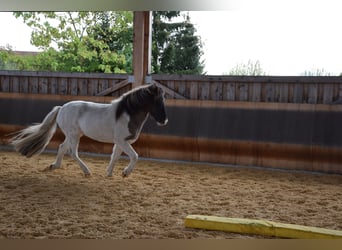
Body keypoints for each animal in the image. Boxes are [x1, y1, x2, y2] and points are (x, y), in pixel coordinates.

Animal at [11, 83, 169, 177]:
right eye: (157, 100)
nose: (164, 121)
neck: (126, 114)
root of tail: (62, 108)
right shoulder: (122, 141)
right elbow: (135, 156)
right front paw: (125, 172)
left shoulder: (121, 142)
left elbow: (115, 156)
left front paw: (109, 173)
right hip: (74, 135)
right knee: (72, 152)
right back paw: (86, 171)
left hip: (72, 135)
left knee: (62, 147)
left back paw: (54, 166)